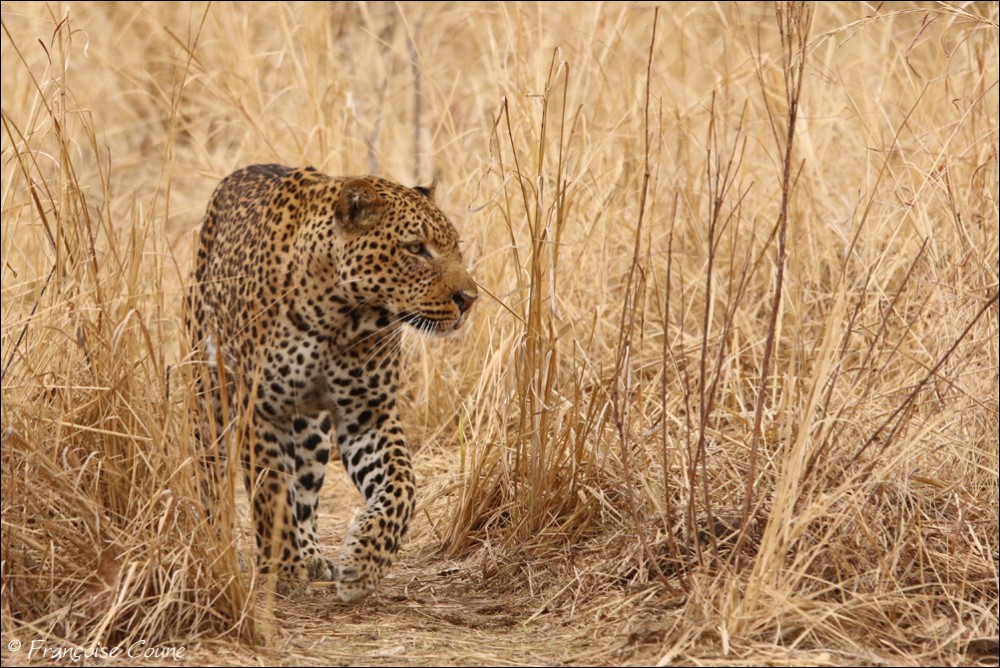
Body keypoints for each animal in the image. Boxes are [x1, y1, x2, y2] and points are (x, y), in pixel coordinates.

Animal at [184, 164, 478, 602]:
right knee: (212, 477)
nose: (469, 298)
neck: (342, 315)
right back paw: (219, 545)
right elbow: (271, 494)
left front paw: (364, 561)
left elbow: (402, 485)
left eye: (455, 247)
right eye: (415, 248)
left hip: (312, 429)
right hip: (209, 394)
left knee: (304, 490)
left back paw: (310, 554)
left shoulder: (368, 413)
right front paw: (283, 571)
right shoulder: (261, 411)